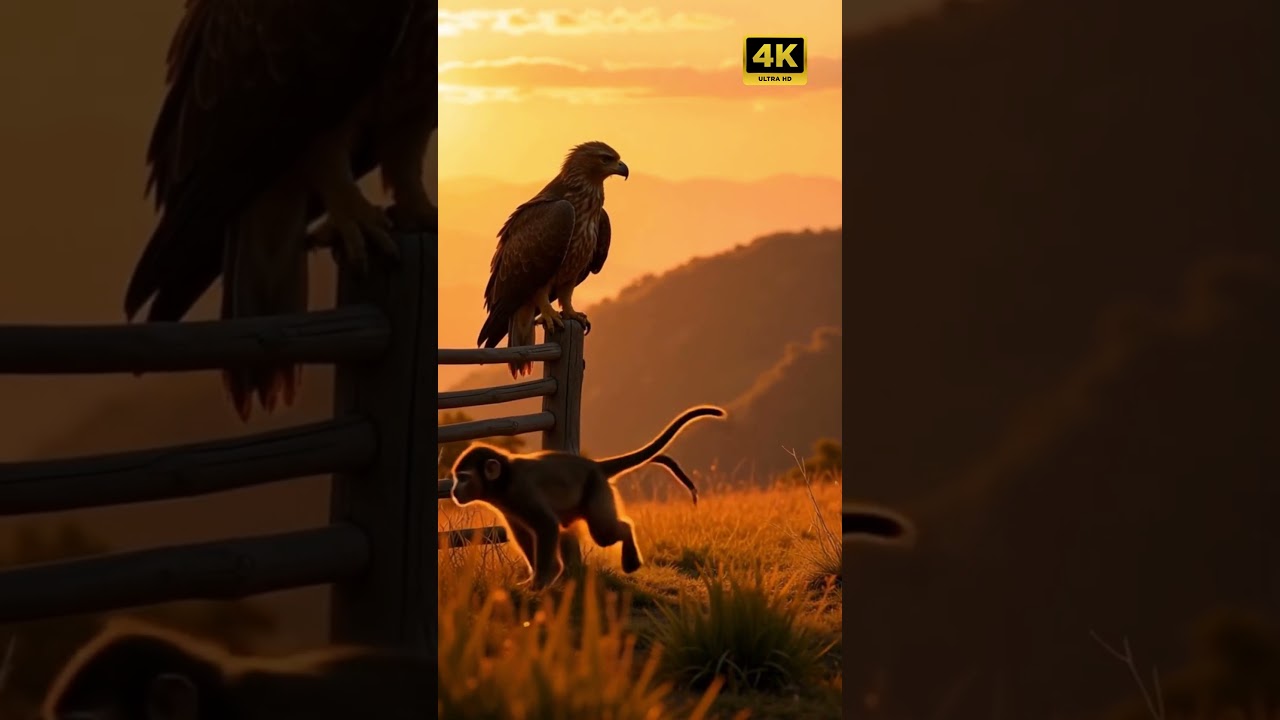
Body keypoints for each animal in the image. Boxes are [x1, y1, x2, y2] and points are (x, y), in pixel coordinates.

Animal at [449, 404, 727, 588]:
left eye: (463, 478)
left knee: (604, 532)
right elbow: (524, 534)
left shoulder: (521, 491)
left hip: (597, 491)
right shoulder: (509, 505)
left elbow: (546, 526)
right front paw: (536, 576)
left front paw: (541, 580)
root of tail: (594, 466)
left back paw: (627, 541)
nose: (453, 490)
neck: (504, 478)